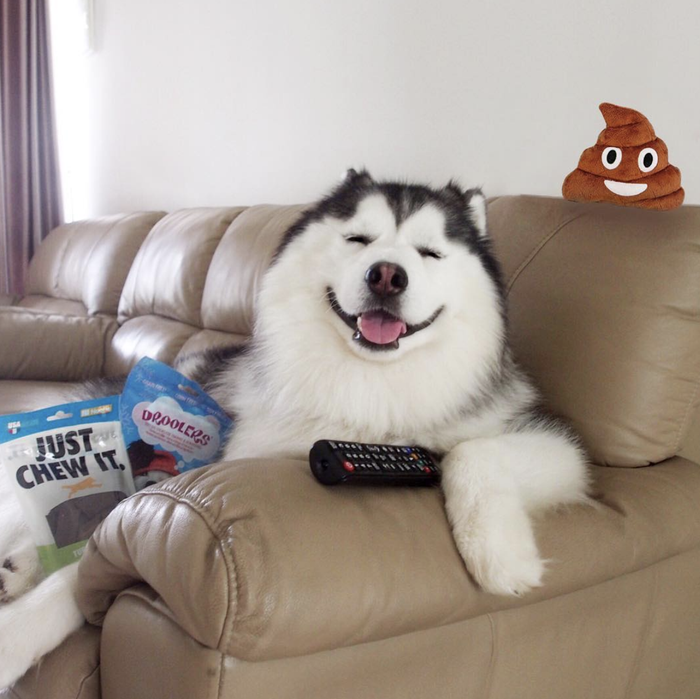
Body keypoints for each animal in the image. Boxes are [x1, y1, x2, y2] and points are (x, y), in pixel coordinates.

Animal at [0, 170, 589, 687]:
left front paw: (501, 554)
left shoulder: (558, 448)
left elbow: (475, 451)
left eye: (430, 252)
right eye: (358, 239)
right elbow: (91, 559)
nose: (386, 274)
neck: (371, 389)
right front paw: (18, 634)